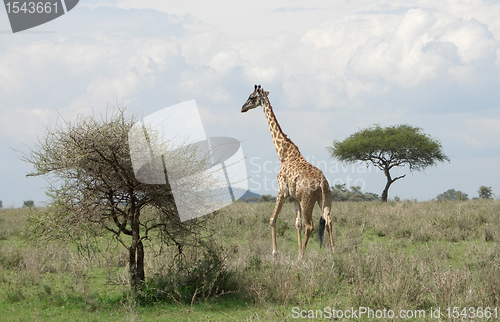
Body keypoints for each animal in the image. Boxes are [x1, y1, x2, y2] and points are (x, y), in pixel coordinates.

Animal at [241, 85, 334, 260]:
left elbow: (272, 219)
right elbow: (297, 224)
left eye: (251, 97)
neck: (283, 153)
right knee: (328, 221)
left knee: (310, 226)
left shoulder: (282, 191)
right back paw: (334, 254)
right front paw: (297, 250)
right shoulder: (294, 198)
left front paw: (275, 253)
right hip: (324, 199)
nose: (243, 108)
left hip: (307, 201)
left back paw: (301, 259)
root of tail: (321, 183)